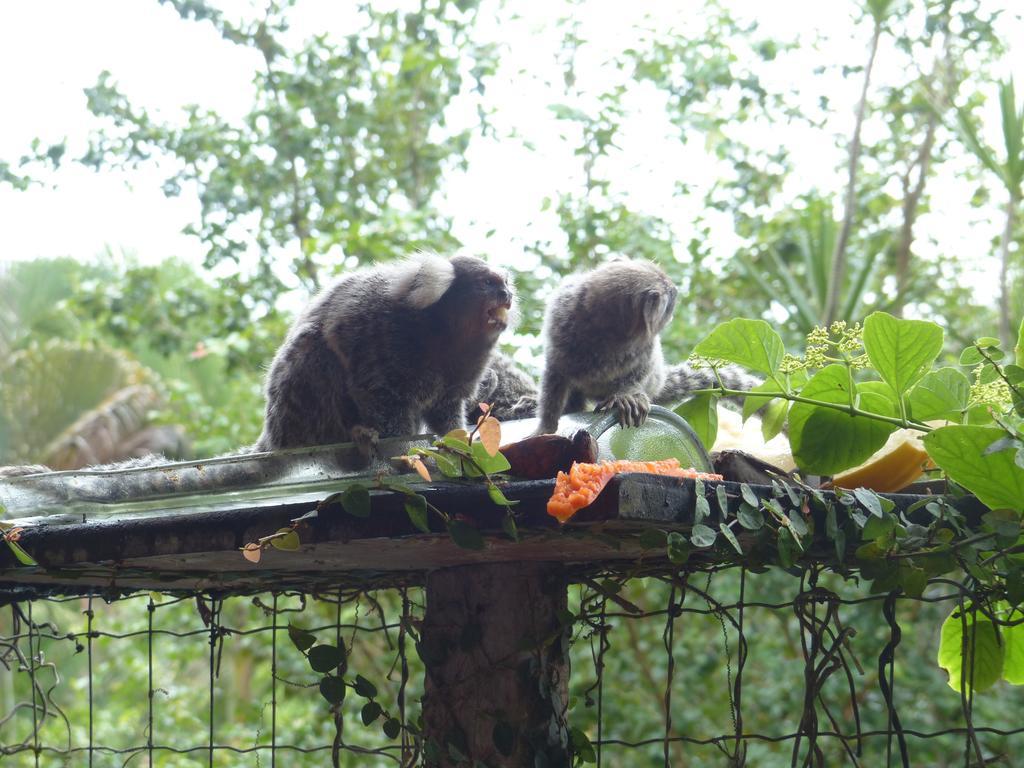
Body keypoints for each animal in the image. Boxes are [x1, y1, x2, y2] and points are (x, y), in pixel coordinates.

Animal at [256, 252, 512, 454]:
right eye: (488, 282)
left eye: (506, 283)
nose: (507, 294)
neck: (441, 331)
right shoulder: (380, 333)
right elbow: (380, 397)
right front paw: (404, 444)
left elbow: (445, 408)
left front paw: (458, 438)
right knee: (315, 350)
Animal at [536, 259, 679, 436]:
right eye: (671, 299)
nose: (676, 289)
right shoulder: (558, 329)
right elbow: (554, 379)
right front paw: (546, 427)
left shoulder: (647, 348)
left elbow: (639, 373)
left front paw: (624, 397)